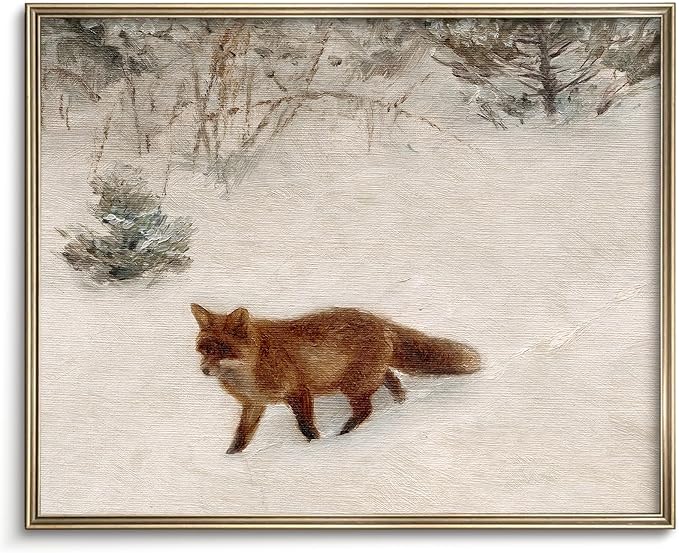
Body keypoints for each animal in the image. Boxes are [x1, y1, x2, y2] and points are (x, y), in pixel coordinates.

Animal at [190, 304, 480, 454]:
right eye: (203, 349)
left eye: (222, 350)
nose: (204, 370)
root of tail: (379, 320)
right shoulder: (253, 405)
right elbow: (241, 437)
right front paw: (231, 458)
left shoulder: (299, 392)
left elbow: (306, 428)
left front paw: (317, 447)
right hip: (365, 378)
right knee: (392, 380)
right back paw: (400, 405)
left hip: (352, 386)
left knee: (366, 409)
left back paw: (344, 434)